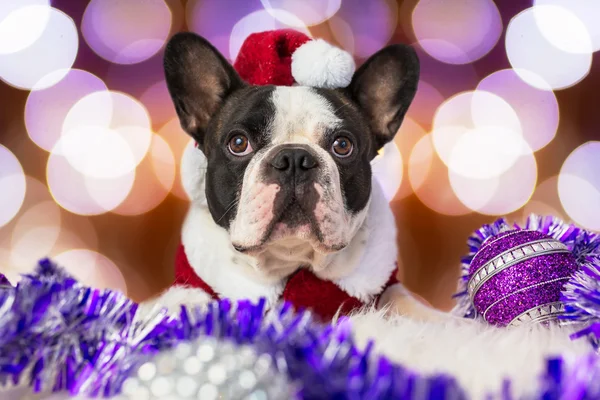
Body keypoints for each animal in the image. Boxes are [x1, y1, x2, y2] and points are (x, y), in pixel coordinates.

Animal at [141, 32, 446, 322]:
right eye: (238, 143)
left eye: (342, 145)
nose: (294, 158)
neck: (289, 258)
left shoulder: (385, 287)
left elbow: (402, 300)